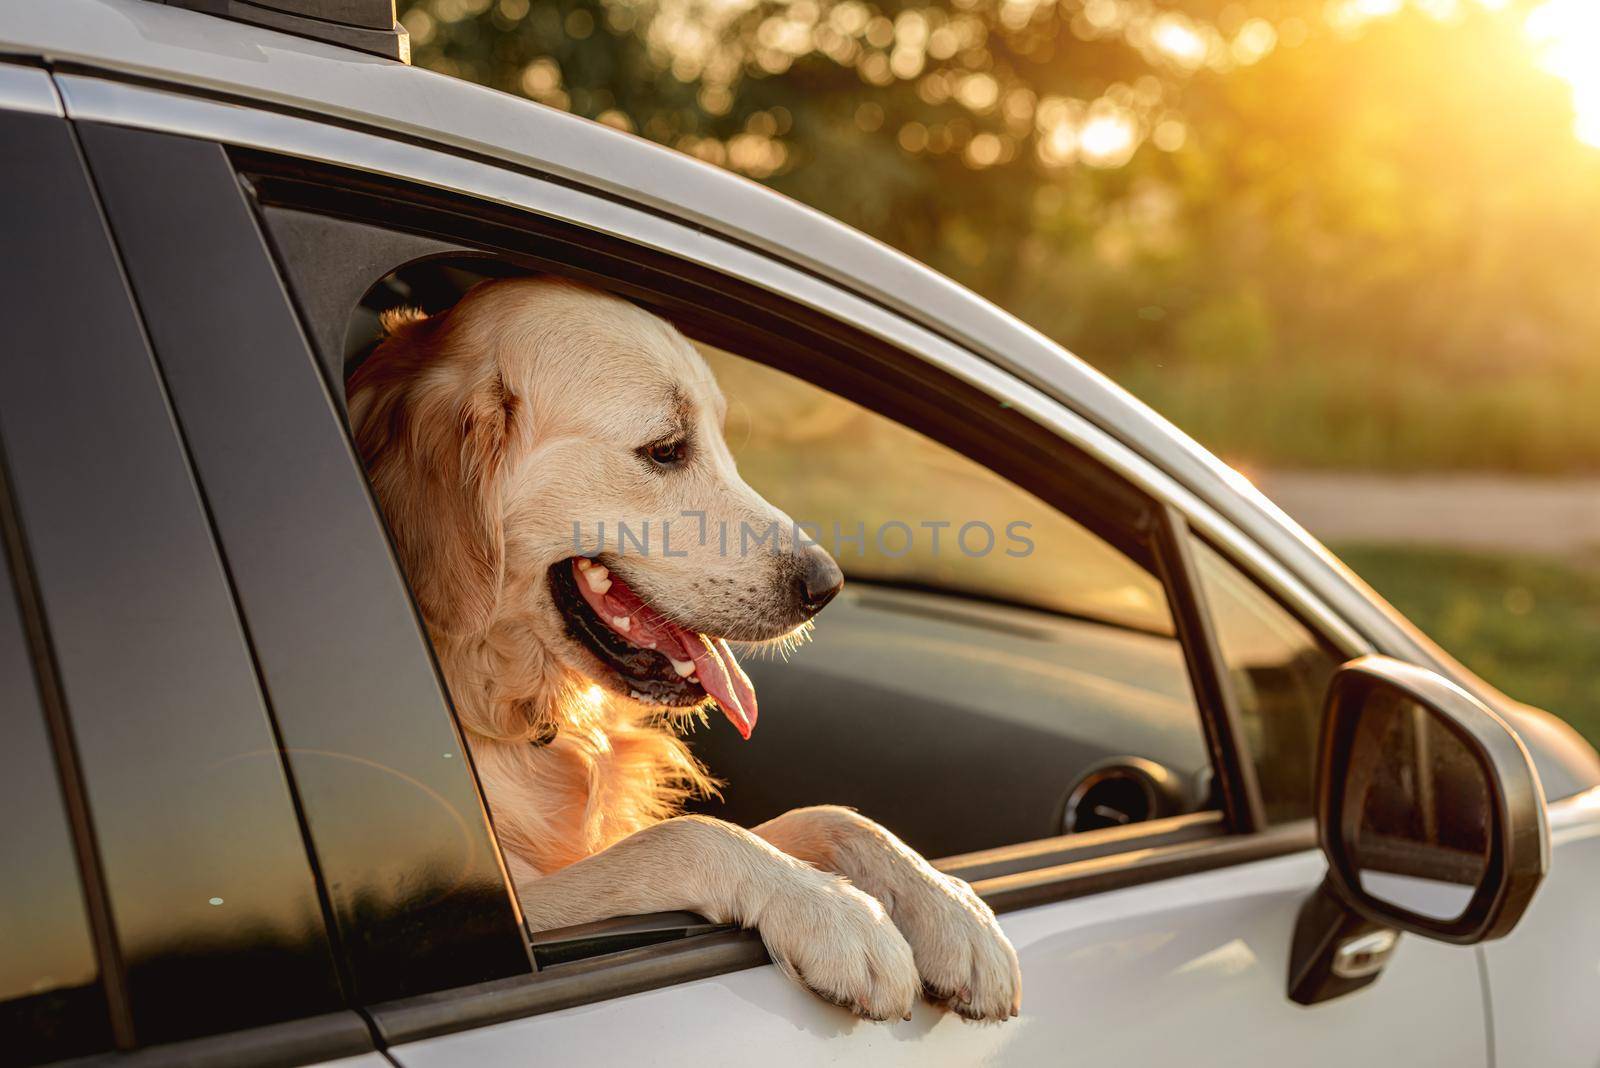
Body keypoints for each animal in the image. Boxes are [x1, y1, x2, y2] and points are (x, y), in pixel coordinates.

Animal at [350, 273, 1024, 1016]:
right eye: (666, 449)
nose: (827, 585)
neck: (500, 699)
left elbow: (833, 816)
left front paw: (950, 908)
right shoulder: (515, 915)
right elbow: (684, 836)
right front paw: (837, 913)